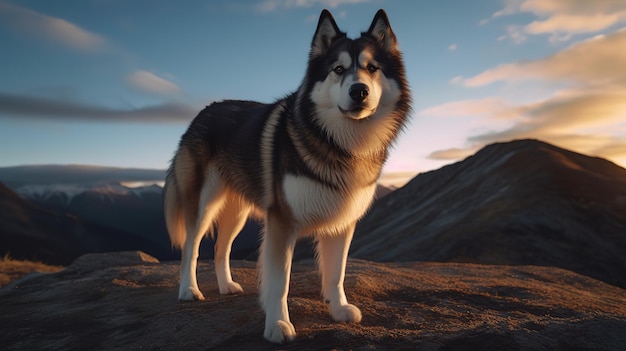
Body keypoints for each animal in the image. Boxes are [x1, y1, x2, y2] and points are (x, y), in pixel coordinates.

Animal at [163, 8, 410, 344]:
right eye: (338, 69)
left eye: (372, 68)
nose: (359, 91)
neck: (340, 143)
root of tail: (201, 113)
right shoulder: (281, 222)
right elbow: (280, 282)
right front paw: (278, 325)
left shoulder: (342, 223)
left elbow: (336, 273)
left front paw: (338, 310)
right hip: (203, 203)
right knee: (191, 247)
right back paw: (188, 290)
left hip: (238, 211)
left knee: (220, 248)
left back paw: (226, 286)